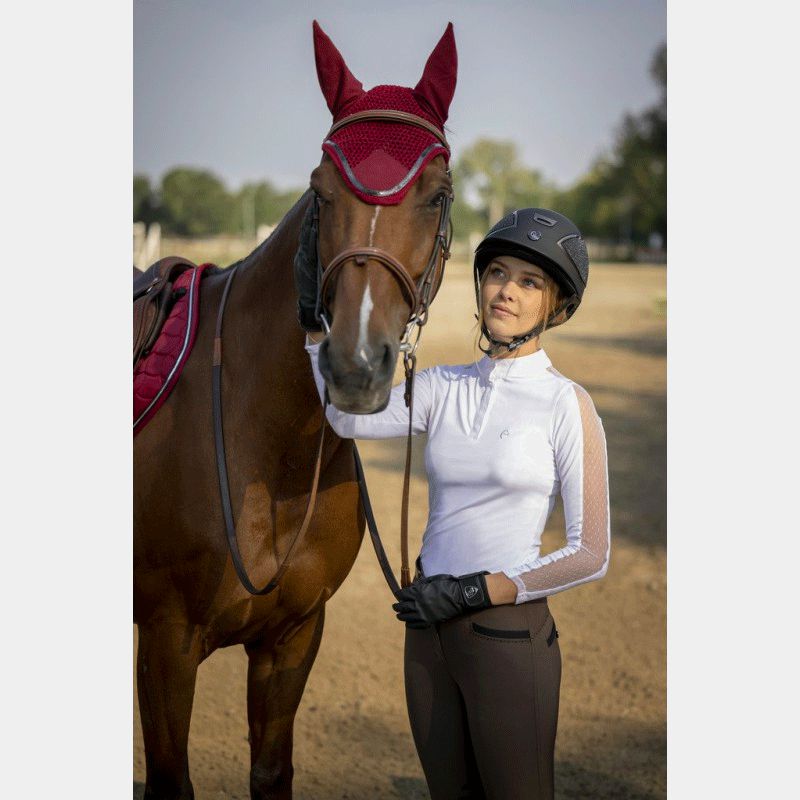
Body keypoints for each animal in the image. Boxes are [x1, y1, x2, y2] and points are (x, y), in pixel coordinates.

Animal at [132, 21, 456, 796]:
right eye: (319, 190)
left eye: (436, 196)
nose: (354, 364)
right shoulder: (164, 646)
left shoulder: (293, 638)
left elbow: (272, 770)